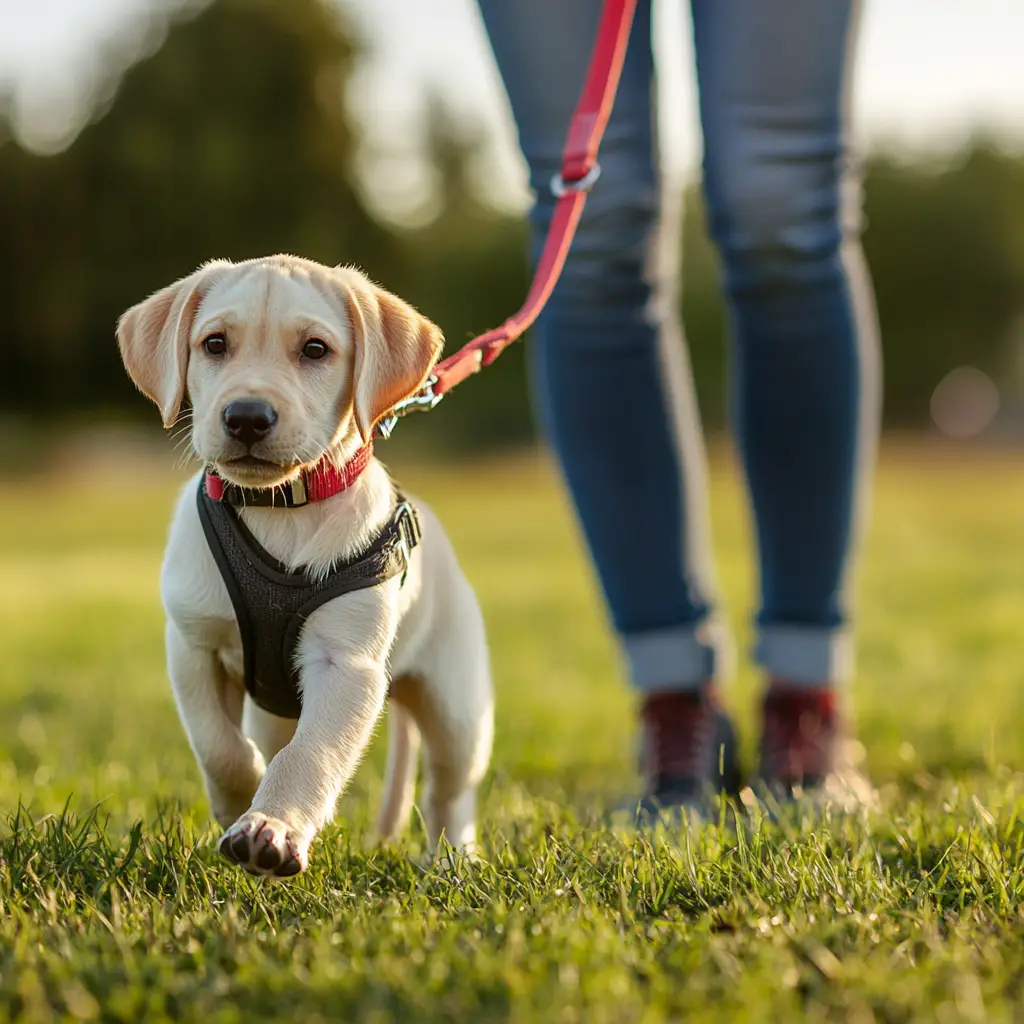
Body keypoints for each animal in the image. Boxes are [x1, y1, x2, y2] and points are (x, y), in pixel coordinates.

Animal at [116, 251, 491, 876]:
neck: (280, 506)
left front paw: (271, 826)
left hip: (458, 707)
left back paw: (451, 861)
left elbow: (312, 755)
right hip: (273, 708)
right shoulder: (192, 645)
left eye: (315, 350)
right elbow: (219, 747)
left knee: (449, 790)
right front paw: (241, 798)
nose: (246, 416)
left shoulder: (346, 665)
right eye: (214, 344)